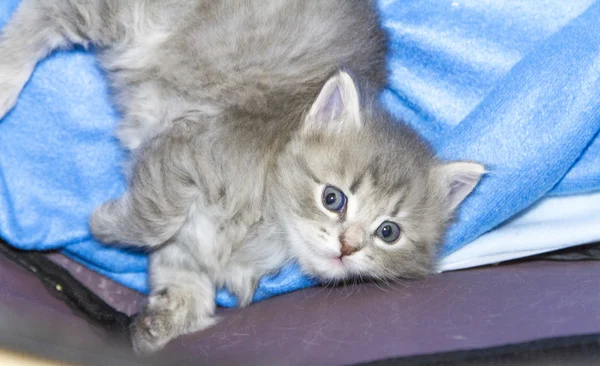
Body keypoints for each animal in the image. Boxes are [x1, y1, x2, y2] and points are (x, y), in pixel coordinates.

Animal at [0, 0, 482, 354]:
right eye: (333, 198)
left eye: (388, 232)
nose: (348, 246)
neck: (269, 232)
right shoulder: (185, 149)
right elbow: (154, 219)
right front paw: (101, 224)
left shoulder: (190, 234)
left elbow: (181, 269)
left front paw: (165, 321)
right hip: (133, 19)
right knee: (49, 10)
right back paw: (7, 75)